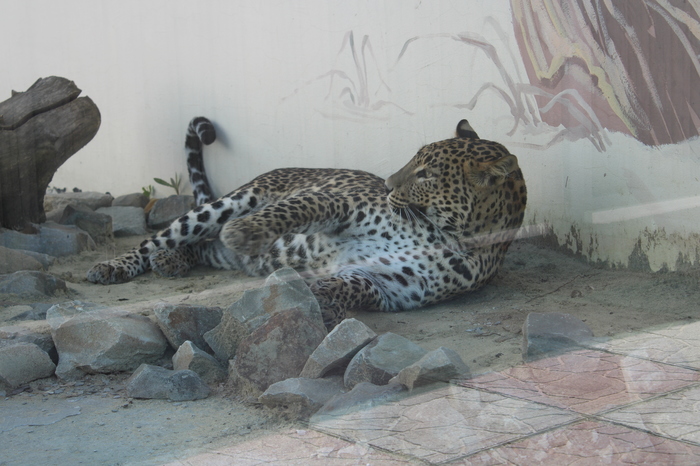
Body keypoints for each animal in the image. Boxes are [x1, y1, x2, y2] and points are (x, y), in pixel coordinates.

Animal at [87, 117, 527, 329]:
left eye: (427, 175)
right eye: (414, 163)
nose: (386, 185)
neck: (446, 234)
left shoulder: (393, 286)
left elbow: (352, 288)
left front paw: (320, 297)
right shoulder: (342, 205)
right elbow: (294, 211)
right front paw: (245, 233)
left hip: (220, 250)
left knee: (201, 245)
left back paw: (173, 261)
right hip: (235, 199)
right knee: (164, 237)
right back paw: (116, 266)